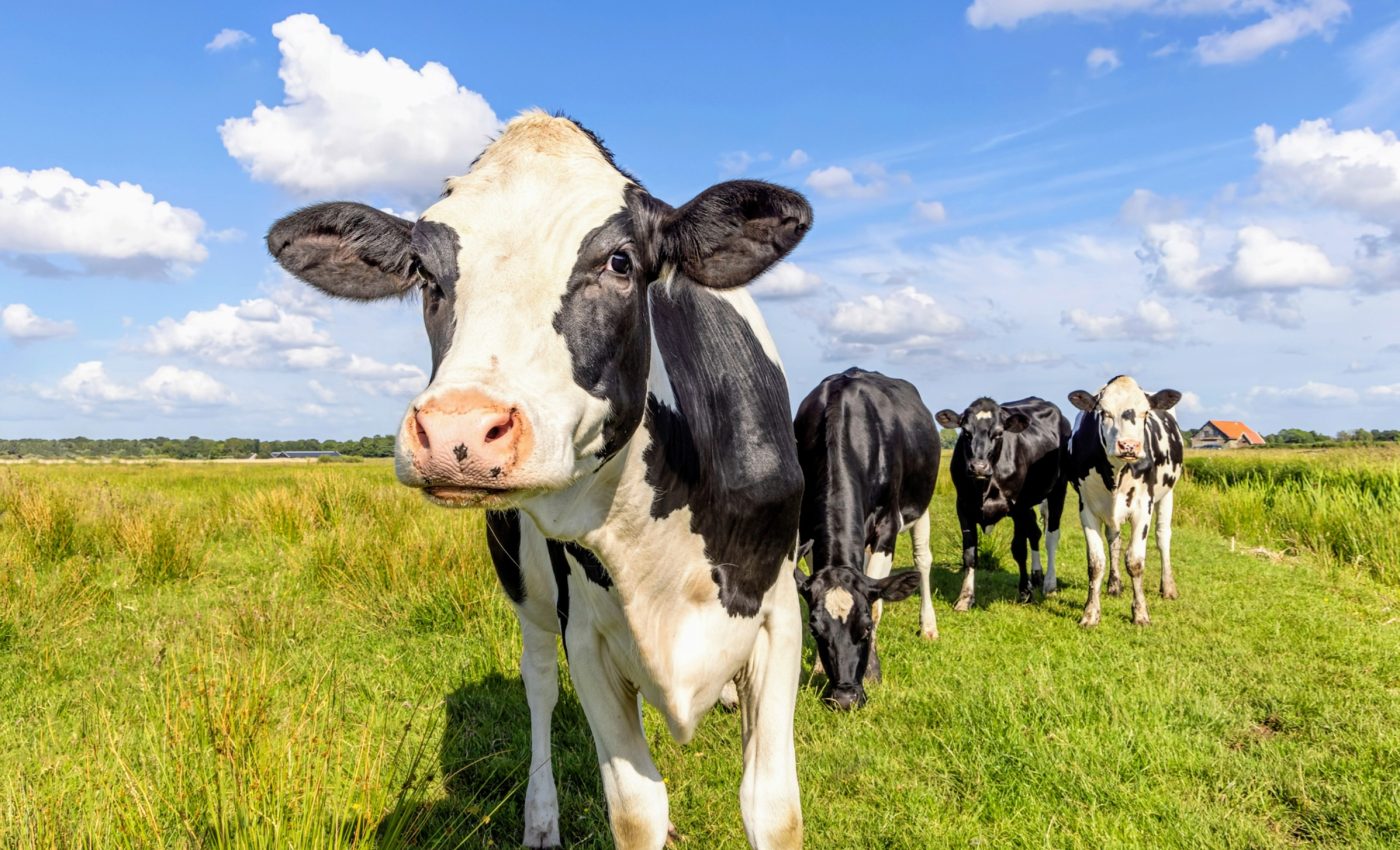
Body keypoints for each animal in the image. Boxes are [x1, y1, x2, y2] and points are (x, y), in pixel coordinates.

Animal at [267, 112, 812, 850]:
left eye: (620, 262)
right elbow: (635, 809)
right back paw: (540, 817)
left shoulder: (780, 615)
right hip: (526, 592)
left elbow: (771, 808)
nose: (459, 430)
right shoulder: (585, 635)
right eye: (424, 272)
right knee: (539, 685)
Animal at [790, 368, 938, 711]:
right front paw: (818, 667)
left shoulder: (887, 527)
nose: (845, 698)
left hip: (921, 504)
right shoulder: (807, 527)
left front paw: (872, 671)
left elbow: (878, 603)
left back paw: (928, 627)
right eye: (815, 629)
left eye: (866, 627)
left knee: (923, 561)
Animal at [934, 396, 1071, 609]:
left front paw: (1025, 593)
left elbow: (1019, 549)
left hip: (1058, 489)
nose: (978, 467)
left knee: (1051, 536)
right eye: (966, 432)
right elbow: (969, 554)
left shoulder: (1018, 507)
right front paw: (965, 598)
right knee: (1035, 532)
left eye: (998, 433)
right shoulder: (963, 506)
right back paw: (1037, 574)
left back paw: (1050, 585)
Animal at [1066, 375, 1184, 628]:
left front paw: (1140, 614)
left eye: (1145, 413)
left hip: (1167, 493)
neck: (1116, 473)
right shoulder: (1086, 507)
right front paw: (1090, 613)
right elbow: (1096, 562)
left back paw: (1168, 587)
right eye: (1104, 412)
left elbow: (1135, 562)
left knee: (1163, 536)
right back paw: (1114, 585)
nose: (1129, 445)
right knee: (1114, 539)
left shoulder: (1143, 506)